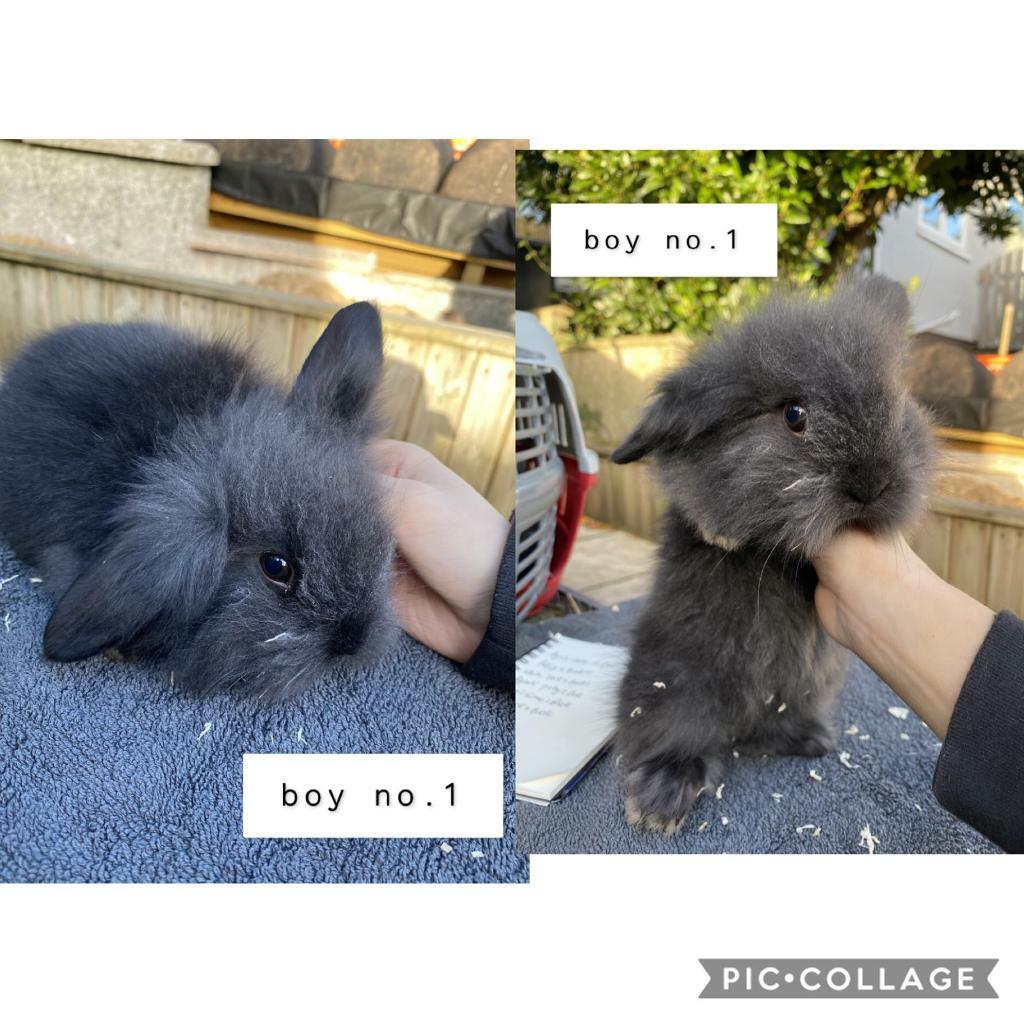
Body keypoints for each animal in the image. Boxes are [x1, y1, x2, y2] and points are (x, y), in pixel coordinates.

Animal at [610, 277, 934, 834]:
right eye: (794, 416)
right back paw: (662, 796)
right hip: (673, 680)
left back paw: (810, 740)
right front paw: (722, 533)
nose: (872, 486)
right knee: (670, 730)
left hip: (805, 686)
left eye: (897, 402)